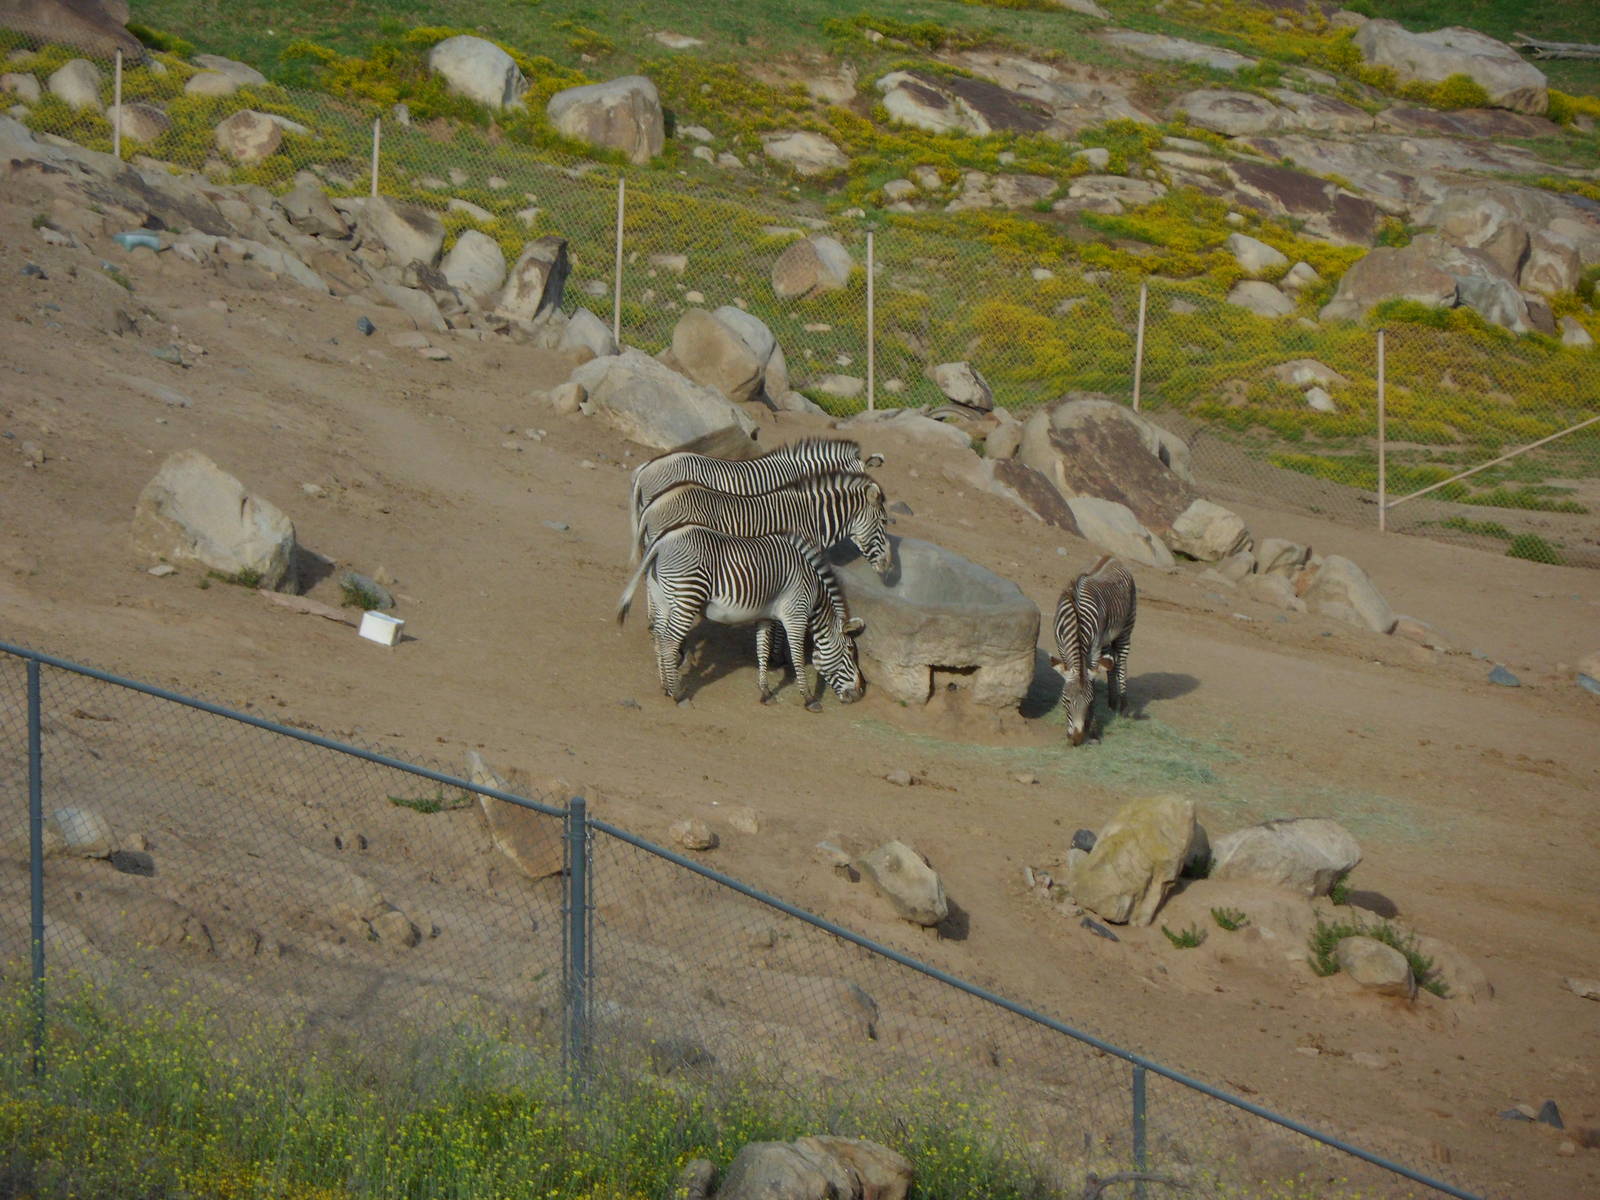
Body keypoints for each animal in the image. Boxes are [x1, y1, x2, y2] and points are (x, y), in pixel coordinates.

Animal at [617, 524, 865, 710]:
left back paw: (666, 687)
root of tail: (663, 540)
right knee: (669, 641)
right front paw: (809, 698)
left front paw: (765, 692)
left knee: (659, 637)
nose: (860, 692)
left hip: (661, 598)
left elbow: (762, 650)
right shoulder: (796, 615)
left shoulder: (765, 617)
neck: (815, 595)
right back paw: (679, 694)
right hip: (688, 596)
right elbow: (796, 657)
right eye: (850, 651)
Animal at [1050, 555, 1137, 747]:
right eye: (1066, 700)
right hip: (1106, 638)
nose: (1076, 739)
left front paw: (1094, 731)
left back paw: (1124, 708)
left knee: (1122, 663)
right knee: (1112, 663)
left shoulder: (1094, 649)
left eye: (1090, 702)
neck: (1076, 619)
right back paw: (1112, 703)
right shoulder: (1062, 648)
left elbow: (1094, 682)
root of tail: (1111, 557)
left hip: (1126, 627)